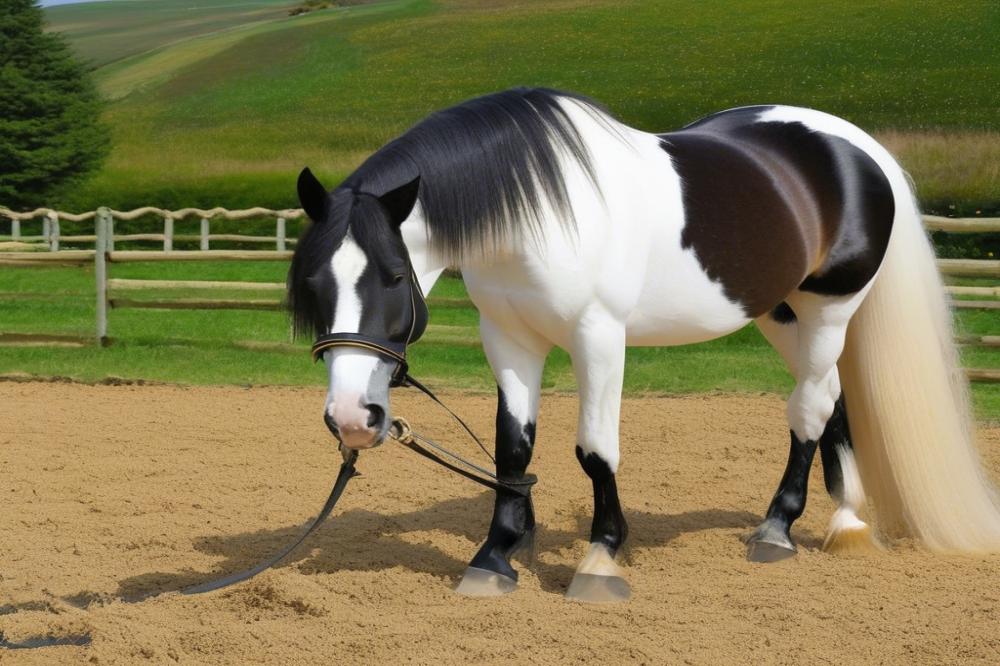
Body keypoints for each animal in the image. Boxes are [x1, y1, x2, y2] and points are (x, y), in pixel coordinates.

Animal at [286, 88, 1000, 600]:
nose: (351, 418)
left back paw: (779, 530)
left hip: (829, 311)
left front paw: (601, 560)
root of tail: (858, 148)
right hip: (782, 314)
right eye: (313, 283)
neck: (537, 209)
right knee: (830, 397)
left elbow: (594, 449)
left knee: (809, 409)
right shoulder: (510, 338)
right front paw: (494, 558)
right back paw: (844, 519)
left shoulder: (598, 335)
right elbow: (512, 447)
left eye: (394, 276)